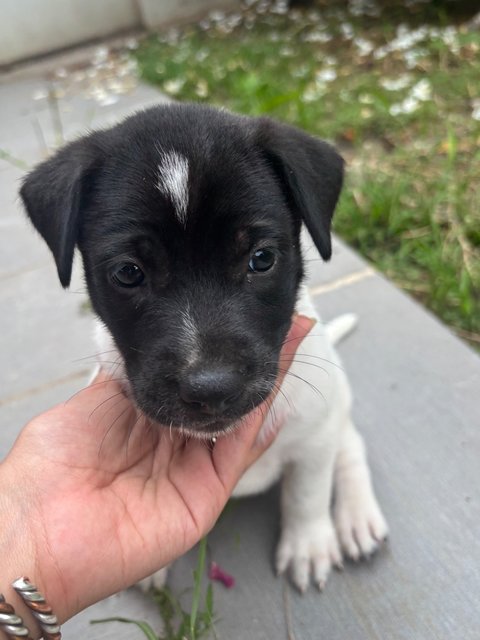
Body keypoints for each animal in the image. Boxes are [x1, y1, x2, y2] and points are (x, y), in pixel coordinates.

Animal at [21, 104, 386, 592]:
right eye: (128, 272)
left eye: (261, 259)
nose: (211, 388)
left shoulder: (313, 431)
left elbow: (306, 492)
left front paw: (308, 543)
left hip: (335, 404)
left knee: (349, 445)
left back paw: (355, 517)